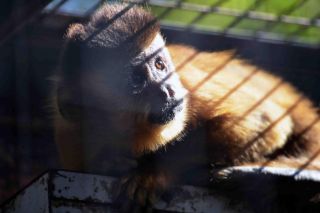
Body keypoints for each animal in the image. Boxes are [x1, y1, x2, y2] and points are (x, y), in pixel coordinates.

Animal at [53, 2, 320, 211]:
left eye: (159, 65)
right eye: (137, 80)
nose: (167, 90)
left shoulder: (190, 83)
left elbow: (266, 122)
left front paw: (151, 171)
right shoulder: (72, 136)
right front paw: (111, 162)